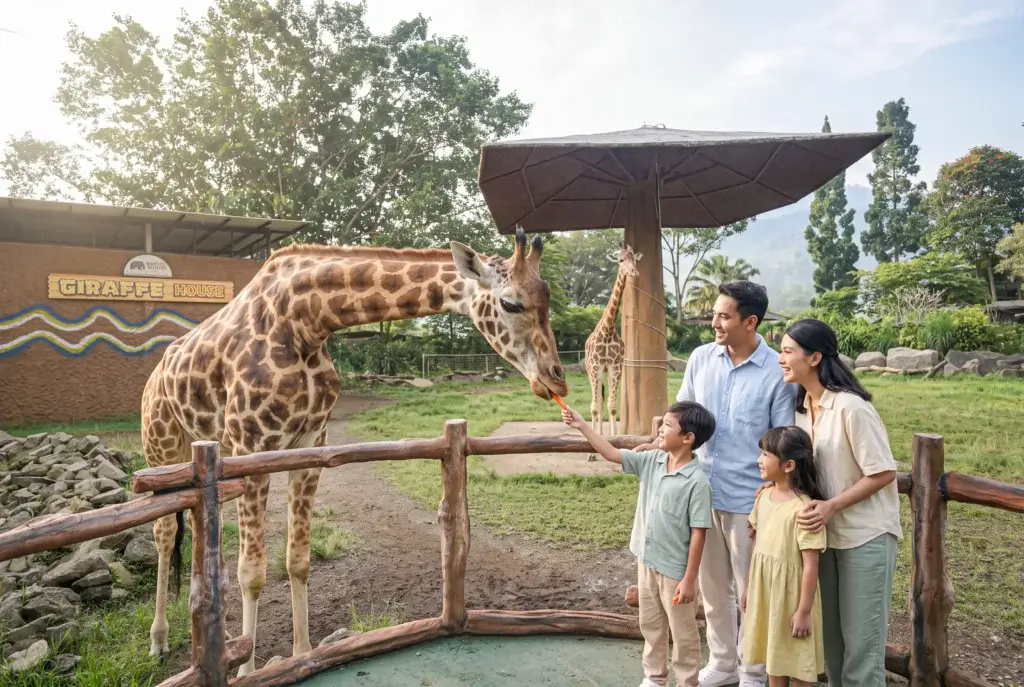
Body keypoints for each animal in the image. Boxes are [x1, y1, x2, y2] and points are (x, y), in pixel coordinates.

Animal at [140, 228, 568, 676]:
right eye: (510, 303)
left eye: (547, 299)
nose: (556, 378)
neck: (306, 322)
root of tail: (157, 370)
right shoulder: (252, 447)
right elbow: (252, 572)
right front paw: (247, 671)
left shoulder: (310, 447)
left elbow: (298, 560)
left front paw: (302, 654)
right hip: (162, 448)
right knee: (164, 534)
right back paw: (159, 642)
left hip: (205, 452)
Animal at [583, 244, 641, 436]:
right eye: (621, 260)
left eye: (635, 259)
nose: (634, 272)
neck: (607, 332)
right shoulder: (596, 367)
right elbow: (595, 407)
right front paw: (595, 436)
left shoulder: (615, 368)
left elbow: (613, 406)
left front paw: (614, 436)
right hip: (592, 371)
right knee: (597, 402)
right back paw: (598, 432)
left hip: (606, 372)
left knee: (603, 401)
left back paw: (602, 433)